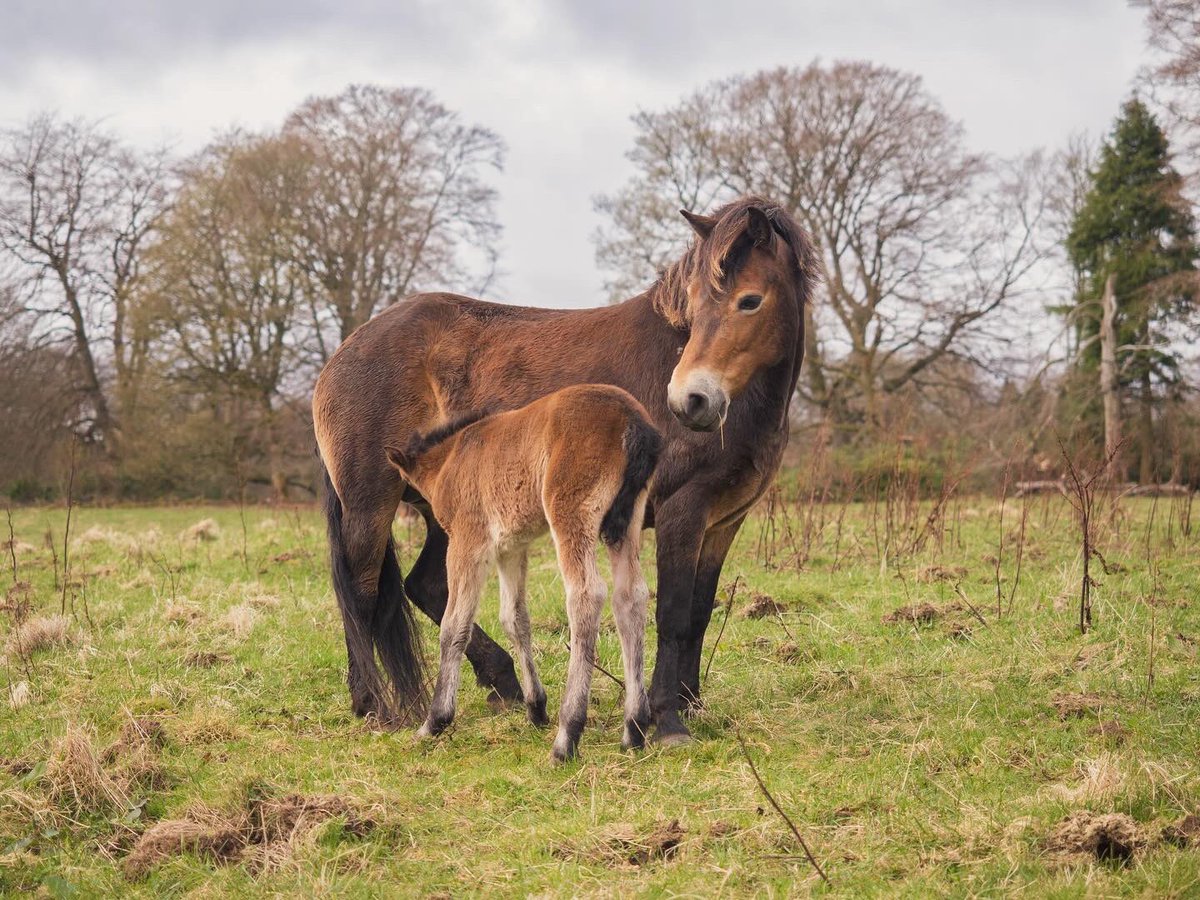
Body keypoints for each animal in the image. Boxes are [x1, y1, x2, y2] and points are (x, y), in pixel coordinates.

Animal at [384, 384, 662, 763]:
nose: (402, 510)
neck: (452, 460)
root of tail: (633, 421)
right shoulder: (511, 548)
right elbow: (514, 619)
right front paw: (535, 708)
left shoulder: (469, 542)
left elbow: (454, 626)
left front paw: (434, 721)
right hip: (626, 523)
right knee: (629, 597)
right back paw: (633, 729)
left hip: (570, 510)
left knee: (586, 595)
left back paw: (567, 736)